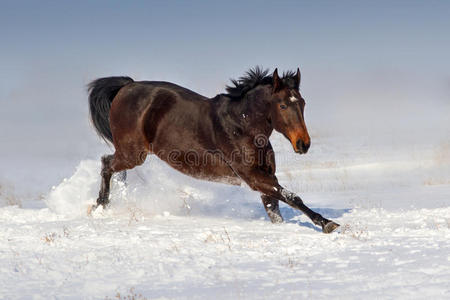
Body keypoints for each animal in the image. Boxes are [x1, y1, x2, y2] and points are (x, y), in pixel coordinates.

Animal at [88, 67, 340, 233]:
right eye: (283, 105)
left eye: (303, 103)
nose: (303, 144)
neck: (242, 126)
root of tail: (127, 86)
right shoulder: (253, 177)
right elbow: (293, 197)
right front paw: (327, 223)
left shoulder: (267, 177)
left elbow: (275, 209)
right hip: (133, 153)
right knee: (106, 164)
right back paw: (100, 206)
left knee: (115, 169)